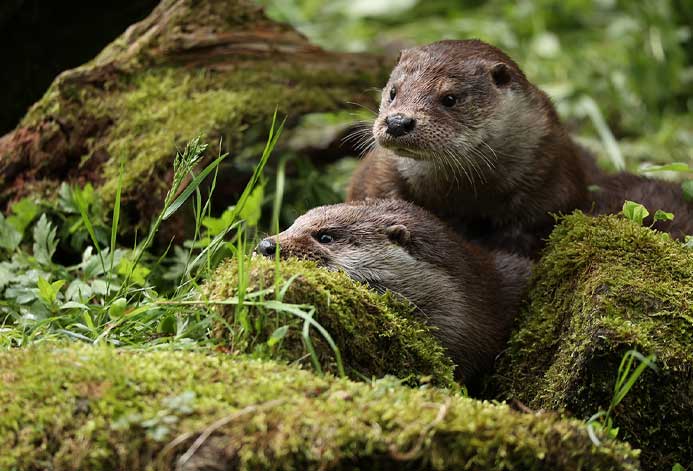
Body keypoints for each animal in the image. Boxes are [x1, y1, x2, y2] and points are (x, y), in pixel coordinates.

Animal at [347, 39, 598, 258]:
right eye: (393, 92)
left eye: (450, 98)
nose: (397, 122)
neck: (462, 195)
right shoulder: (380, 174)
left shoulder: (549, 175)